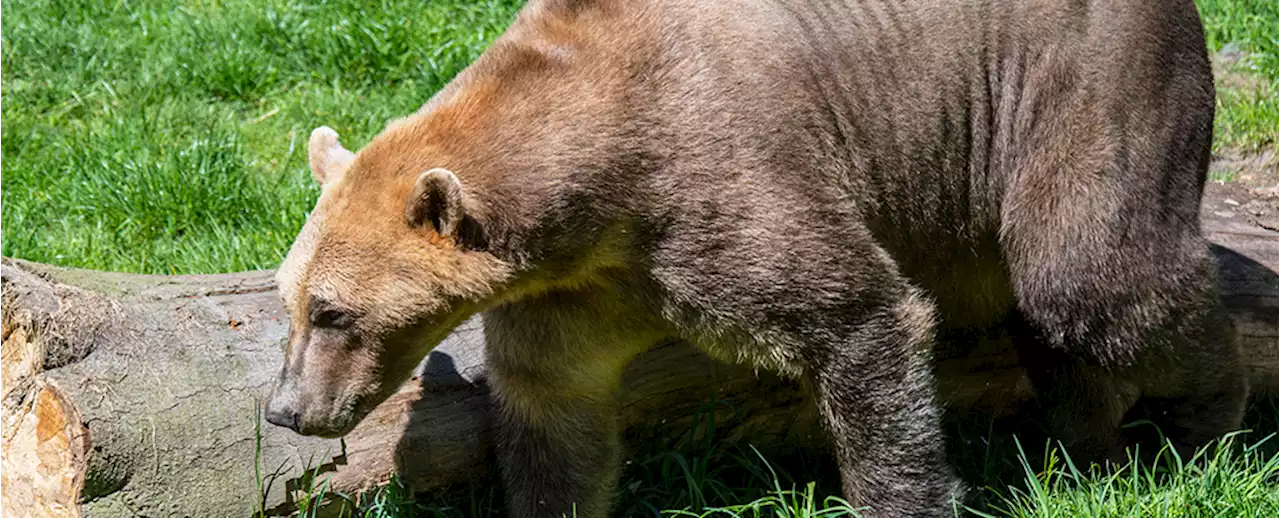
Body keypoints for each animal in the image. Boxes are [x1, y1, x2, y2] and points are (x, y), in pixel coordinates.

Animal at [262, 0, 1249, 514]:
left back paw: (1207, 420)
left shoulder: (722, 186)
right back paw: (1084, 443)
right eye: (289, 302)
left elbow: (858, 318)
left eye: (335, 312)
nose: (287, 410)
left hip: (1081, 83)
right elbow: (554, 411)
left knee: (1093, 279)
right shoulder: (580, 288)